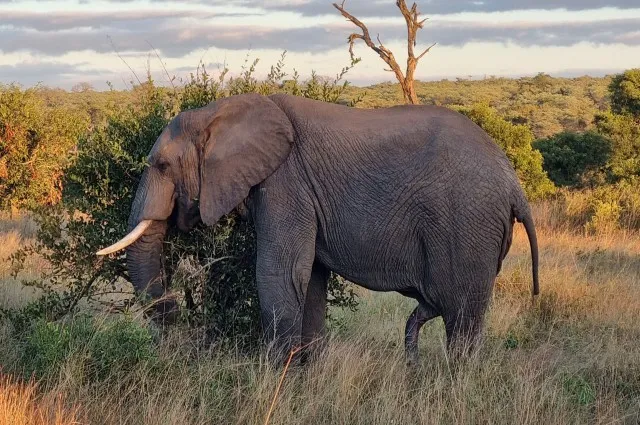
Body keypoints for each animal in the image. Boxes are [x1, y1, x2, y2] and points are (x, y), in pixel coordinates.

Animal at [97, 93, 536, 362]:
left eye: (162, 166)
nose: (175, 315)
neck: (219, 110)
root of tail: (515, 185)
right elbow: (309, 280)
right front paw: (306, 376)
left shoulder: (285, 184)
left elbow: (279, 273)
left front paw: (272, 383)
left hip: (468, 223)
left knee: (460, 317)